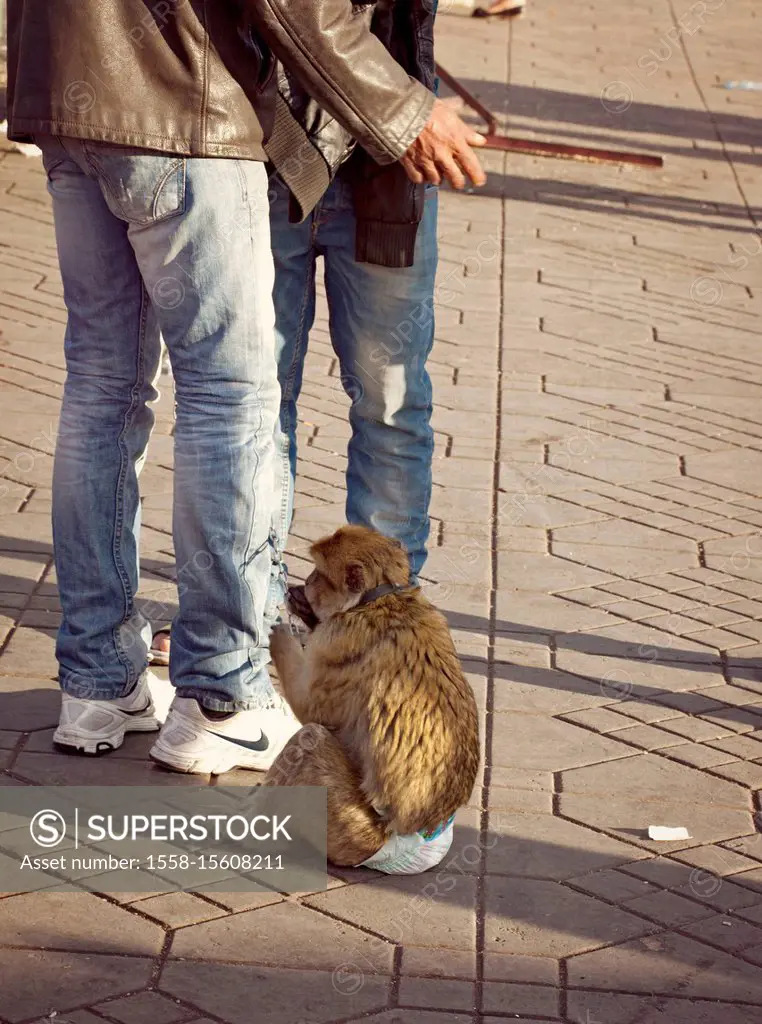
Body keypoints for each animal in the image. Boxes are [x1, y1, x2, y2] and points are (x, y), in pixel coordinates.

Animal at [264, 528, 479, 872]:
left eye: (316, 575)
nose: (299, 584)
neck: (382, 599)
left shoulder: (336, 640)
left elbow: (309, 708)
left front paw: (282, 638)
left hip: (349, 829)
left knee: (310, 739)